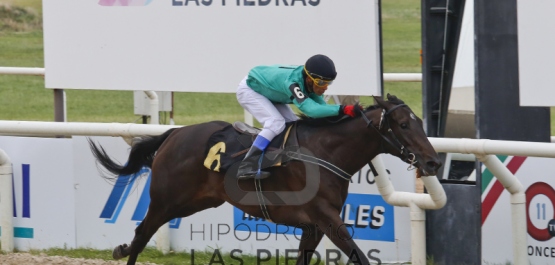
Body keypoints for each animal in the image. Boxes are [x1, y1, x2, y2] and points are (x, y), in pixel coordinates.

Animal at [89, 94, 440, 262]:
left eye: (421, 122)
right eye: (404, 125)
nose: (433, 161)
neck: (325, 152)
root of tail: (173, 134)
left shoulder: (313, 226)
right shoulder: (326, 218)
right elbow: (360, 256)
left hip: (192, 203)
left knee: (140, 235)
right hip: (166, 201)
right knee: (141, 235)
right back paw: (124, 250)